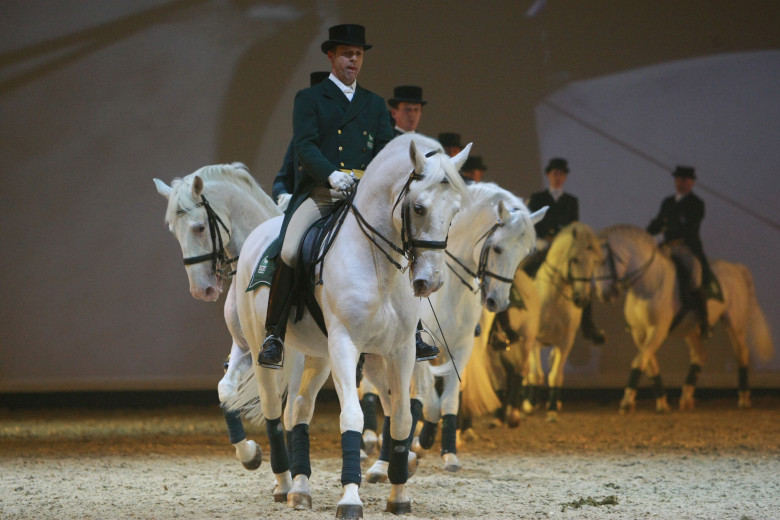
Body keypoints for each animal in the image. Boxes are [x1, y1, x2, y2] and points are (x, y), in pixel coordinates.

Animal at [152, 164, 284, 472]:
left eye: (200, 227)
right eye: (173, 232)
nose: (202, 290)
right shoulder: (247, 347)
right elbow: (226, 391)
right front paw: (249, 453)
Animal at [232, 134, 470, 516]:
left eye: (455, 211)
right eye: (419, 207)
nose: (430, 281)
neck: (377, 263)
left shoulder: (401, 350)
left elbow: (402, 417)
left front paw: (398, 496)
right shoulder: (345, 344)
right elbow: (353, 418)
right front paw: (350, 498)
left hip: (318, 354)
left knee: (299, 409)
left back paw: (301, 488)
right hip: (262, 349)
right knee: (272, 411)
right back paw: (283, 484)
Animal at [396, 182, 544, 472]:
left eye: (523, 255)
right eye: (497, 249)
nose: (498, 302)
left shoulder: (462, 348)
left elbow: (449, 398)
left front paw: (448, 451)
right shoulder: (423, 350)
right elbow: (430, 399)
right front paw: (423, 439)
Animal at [596, 225, 772, 412]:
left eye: (603, 261)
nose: (604, 295)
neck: (648, 285)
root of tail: (735, 268)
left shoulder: (658, 330)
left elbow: (639, 361)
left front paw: (627, 402)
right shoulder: (638, 333)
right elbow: (649, 364)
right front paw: (662, 403)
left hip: (734, 322)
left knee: (742, 352)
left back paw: (744, 399)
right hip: (691, 330)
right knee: (700, 355)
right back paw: (686, 399)